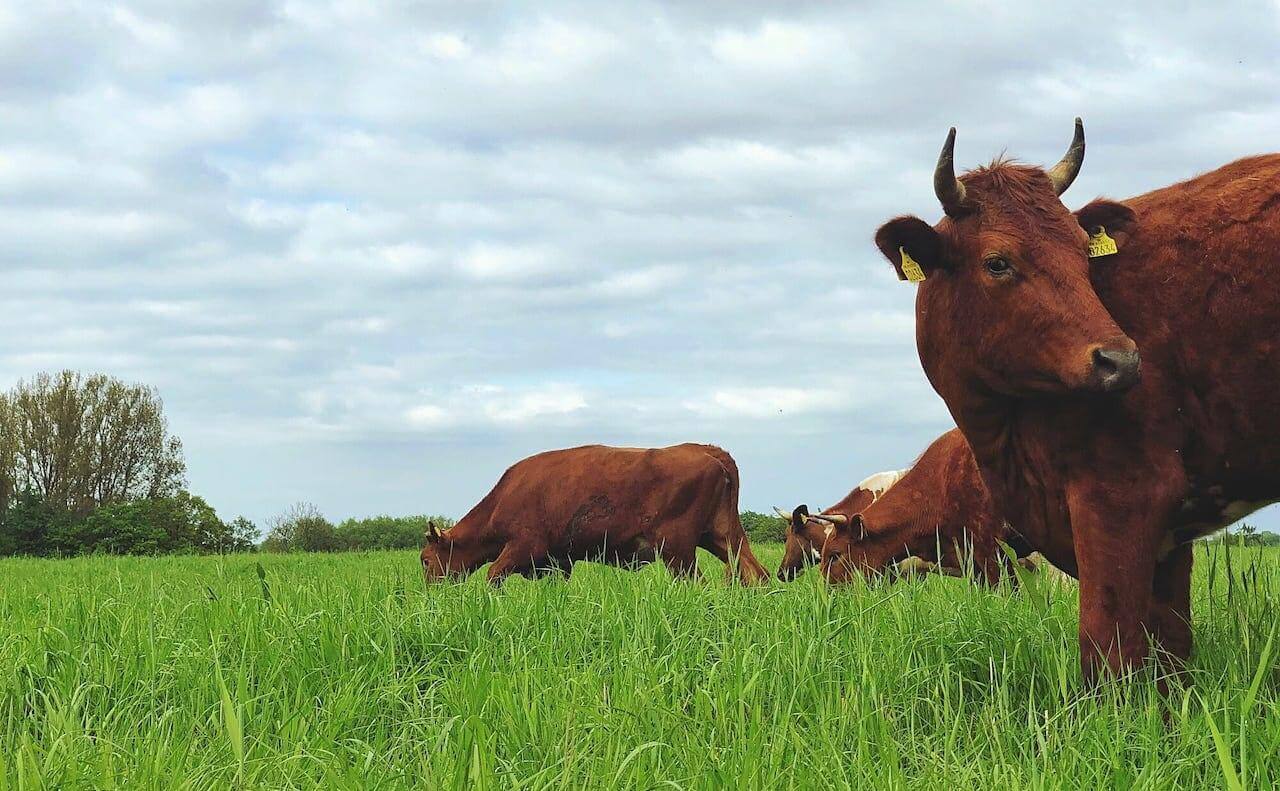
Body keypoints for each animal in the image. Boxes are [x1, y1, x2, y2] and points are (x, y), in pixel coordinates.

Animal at [420, 443, 769, 585]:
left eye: (424, 559)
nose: (430, 591)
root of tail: (707, 450)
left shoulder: (523, 546)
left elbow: (493, 575)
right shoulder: (557, 562)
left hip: (677, 549)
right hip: (722, 538)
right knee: (755, 573)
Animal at [869, 119, 1280, 680]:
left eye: (1083, 255)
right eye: (997, 262)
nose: (1121, 360)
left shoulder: (1123, 496)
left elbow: (1107, 654)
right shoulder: (1170, 536)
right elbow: (1169, 656)